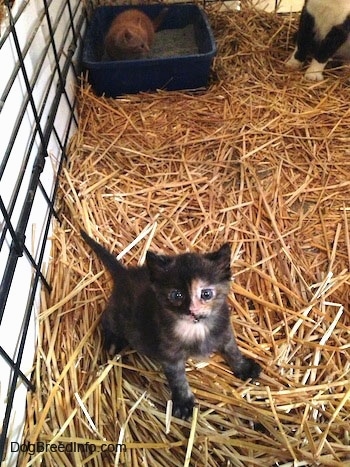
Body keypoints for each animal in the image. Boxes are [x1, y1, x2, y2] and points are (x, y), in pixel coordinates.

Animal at [81, 231, 260, 420]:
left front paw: (245, 368)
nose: (192, 310)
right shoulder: (170, 355)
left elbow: (233, 351)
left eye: (206, 294)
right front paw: (183, 403)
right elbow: (178, 380)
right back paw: (113, 341)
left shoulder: (225, 331)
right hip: (118, 314)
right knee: (106, 318)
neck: (196, 328)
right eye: (176, 295)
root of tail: (126, 275)